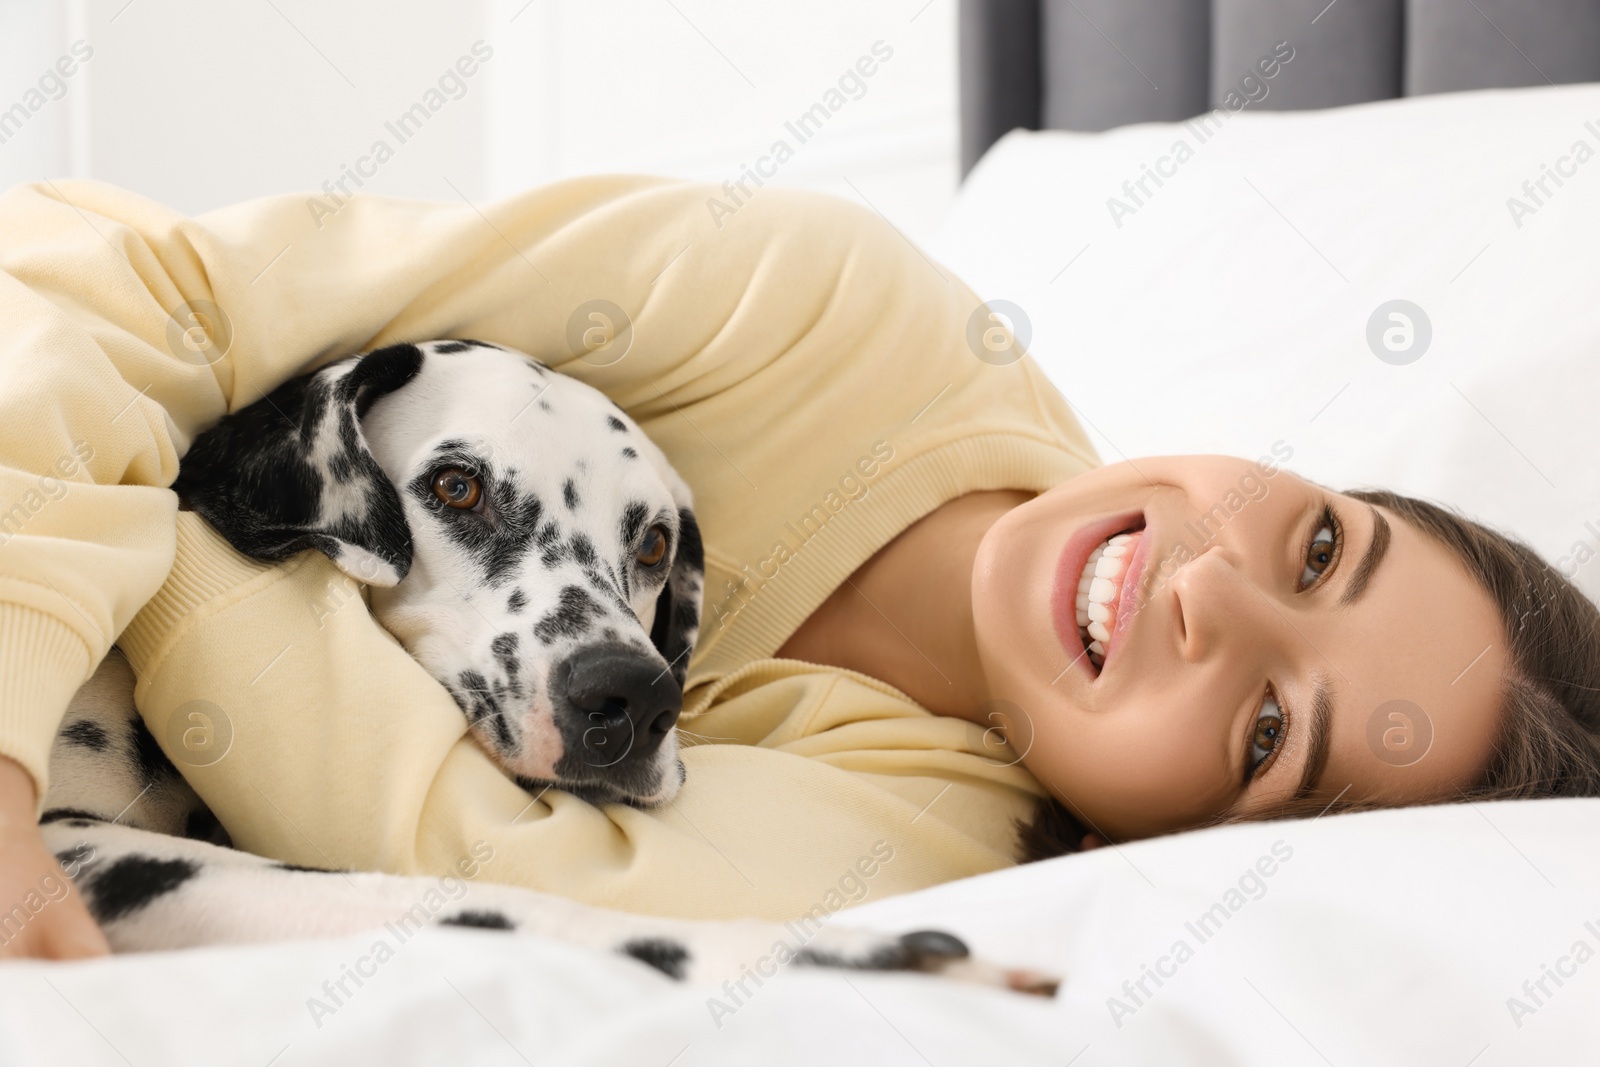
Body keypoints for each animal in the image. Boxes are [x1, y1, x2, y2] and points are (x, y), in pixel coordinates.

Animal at [31, 337, 1056, 998]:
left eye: (653, 542)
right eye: (456, 486)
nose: (634, 697)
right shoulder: (77, 851)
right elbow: (470, 902)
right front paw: (831, 951)